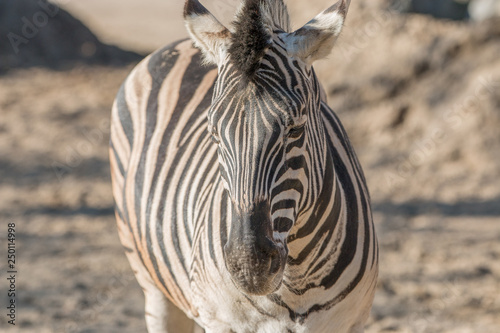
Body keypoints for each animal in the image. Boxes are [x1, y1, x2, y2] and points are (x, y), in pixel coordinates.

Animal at [111, 0, 378, 330]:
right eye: (214, 134)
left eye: (295, 129)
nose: (251, 266)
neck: (297, 278)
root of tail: (181, 43)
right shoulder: (221, 321)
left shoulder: (351, 322)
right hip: (151, 280)